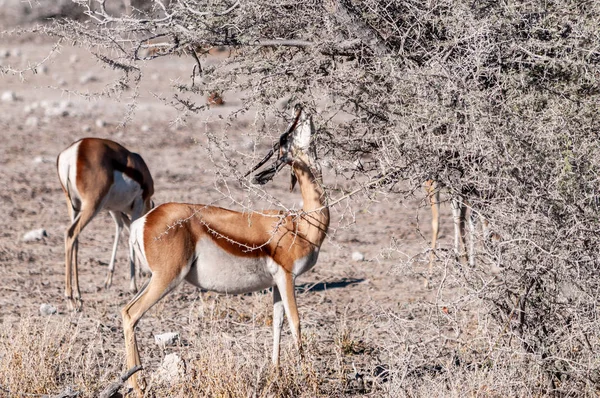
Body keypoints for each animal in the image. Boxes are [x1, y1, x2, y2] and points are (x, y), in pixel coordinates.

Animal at [56, 138, 155, 312]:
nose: (149, 271)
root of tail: (75, 150)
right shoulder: (137, 204)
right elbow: (131, 236)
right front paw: (133, 286)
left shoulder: (114, 209)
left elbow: (122, 230)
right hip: (93, 205)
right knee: (70, 233)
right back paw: (70, 300)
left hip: (73, 205)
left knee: (75, 240)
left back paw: (78, 297)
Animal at [120, 105, 328, 394]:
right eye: (286, 136)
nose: (301, 107)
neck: (301, 225)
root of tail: (143, 221)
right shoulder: (288, 277)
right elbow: (296, 322)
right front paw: (309, 380)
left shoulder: (277, 282)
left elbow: (277, 323)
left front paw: (276, 374)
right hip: (168, 278)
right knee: (131, 314)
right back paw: (139, 387)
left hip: (154, 278)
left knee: (126, 310)